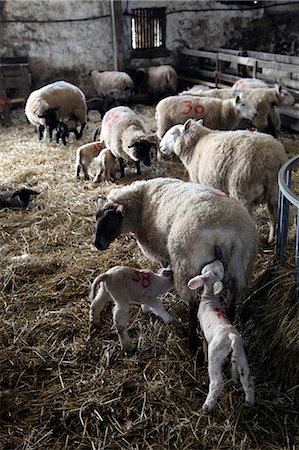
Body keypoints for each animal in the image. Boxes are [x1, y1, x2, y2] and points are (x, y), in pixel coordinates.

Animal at [94, 178, 258, 346]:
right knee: (232, 299)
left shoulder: (159, 251)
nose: (97, 244)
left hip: (186, 266)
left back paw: (191, 341)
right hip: (239, 269)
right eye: (97, 218)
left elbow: (164, 267)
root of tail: (225, 235)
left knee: (192, 305)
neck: (140, 201)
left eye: (111, 219)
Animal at [159, 118, 288, 243]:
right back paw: (271, 239)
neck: (194, 146)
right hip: (274, 192)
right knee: (273, 215)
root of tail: (270, 159)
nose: (160, 147)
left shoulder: (199, 182)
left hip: (241, 189)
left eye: (172, 133)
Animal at [190, 258, 255, 414]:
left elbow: (204, 344)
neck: (210, 298)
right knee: (247, 380)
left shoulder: (203, 333)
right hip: (241, 356)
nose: (218, 260)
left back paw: (207, 406)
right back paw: (250, 402)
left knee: (217, 383)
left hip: (216, 355)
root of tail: (232, 338)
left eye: (218, 270)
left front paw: (204, 357)